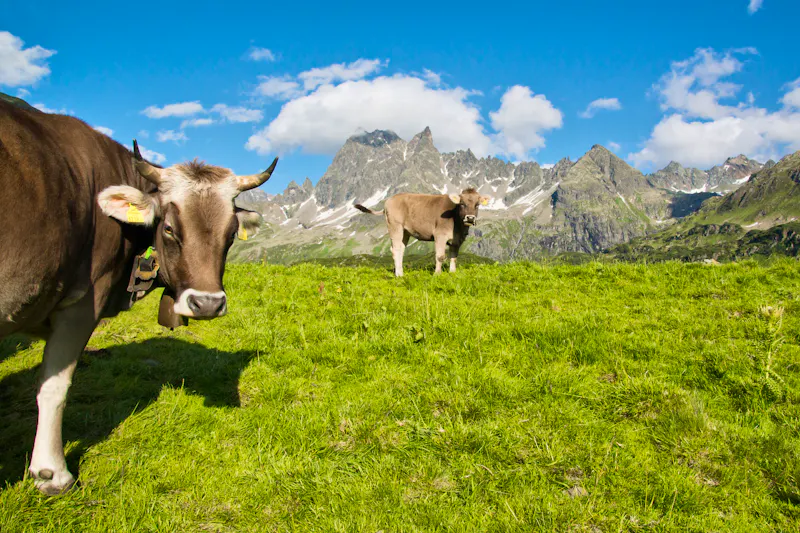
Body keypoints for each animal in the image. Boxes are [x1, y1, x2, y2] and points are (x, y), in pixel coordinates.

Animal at [0, 100, 277, 495]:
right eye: (169, 229)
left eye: (230, 234)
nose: (208, 304)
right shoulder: (83, 302)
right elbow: (55, 386)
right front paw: (52, 473)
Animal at [354, 188, 489, 276]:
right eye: (462, 204)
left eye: (477, 205)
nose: (470, 218)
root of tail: (390, 200)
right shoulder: (440, 235)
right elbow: (440, 256)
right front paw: (437, 274)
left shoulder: (458, 239)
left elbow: (454, 256)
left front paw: (452, 273)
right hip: (395, 226)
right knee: (396, 249)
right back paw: (399, 275)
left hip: (405, 232)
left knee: (401, 249)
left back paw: (401, 272)